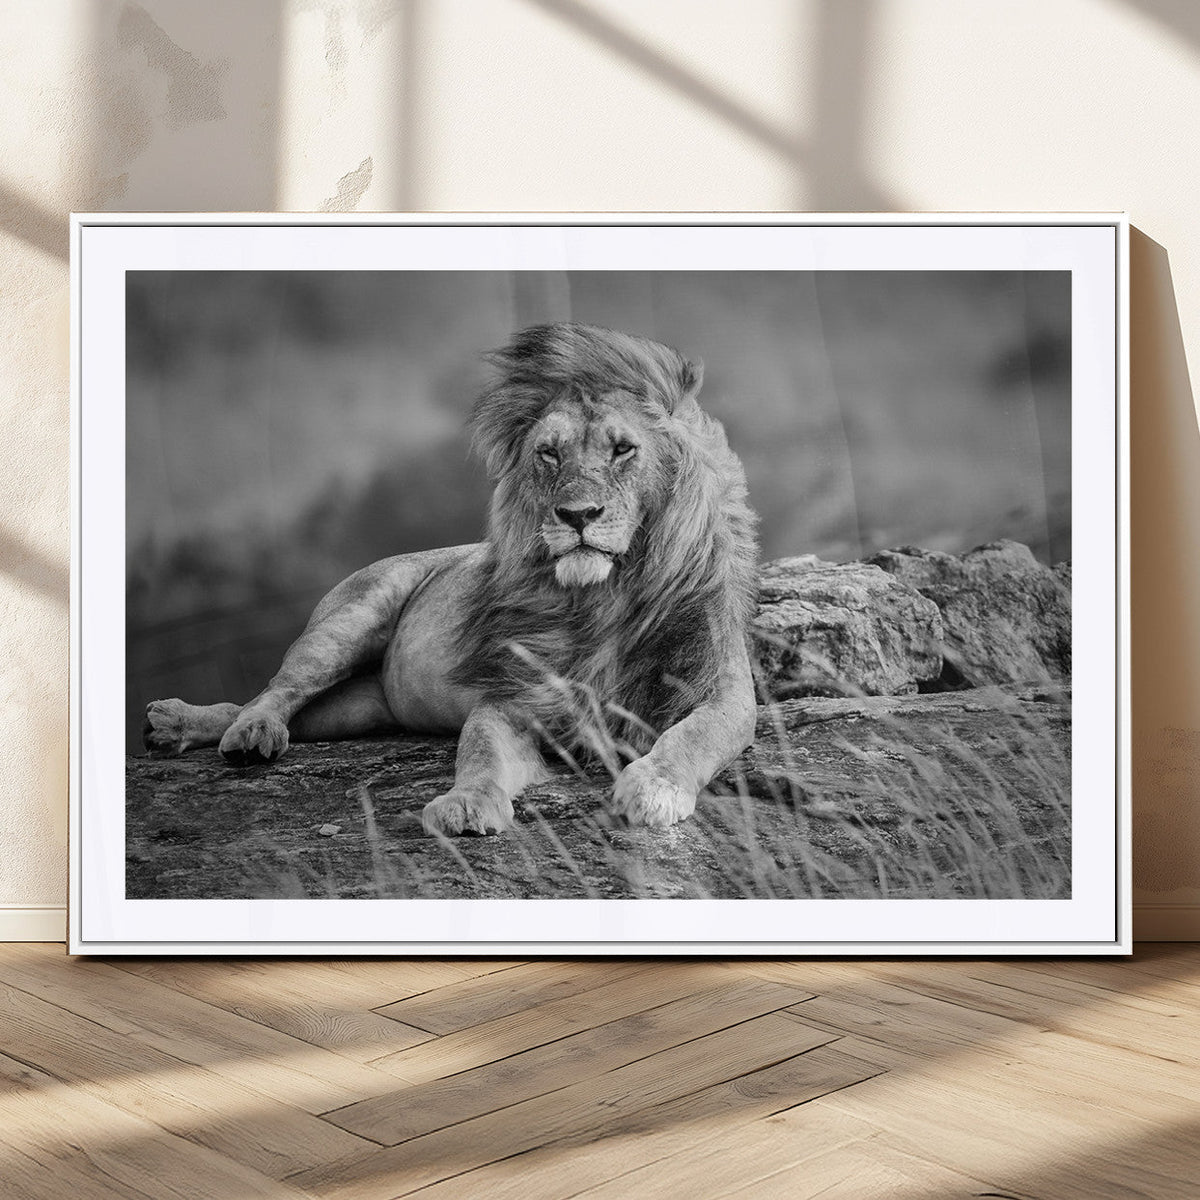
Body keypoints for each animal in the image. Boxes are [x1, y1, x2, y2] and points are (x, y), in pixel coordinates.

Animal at [143, 322, 759, 835]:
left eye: (623, 449)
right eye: (549, 454)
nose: (577, 515)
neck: (602, 598)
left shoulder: (722, 690)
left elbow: (693, 735)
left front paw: (653, 788)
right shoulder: (512, 697)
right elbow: (479, 751)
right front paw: (466, 804)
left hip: (358, 708)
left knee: (283, 710)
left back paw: (179, 726)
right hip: (349, 620)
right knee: (275, 691)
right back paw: (235, 732)